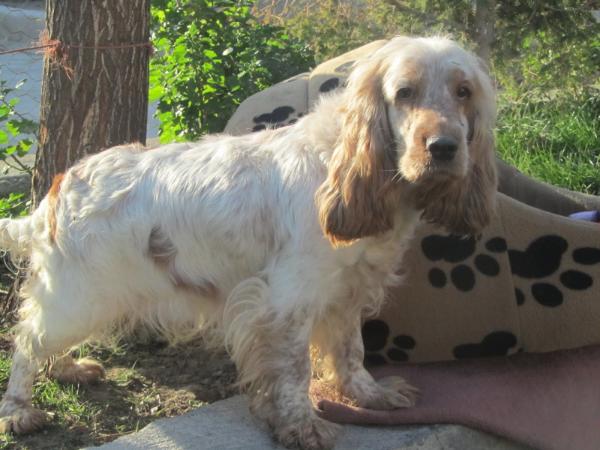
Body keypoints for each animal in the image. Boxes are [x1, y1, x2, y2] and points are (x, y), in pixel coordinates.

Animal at [0, 37, 496, 448]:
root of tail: (60, 186)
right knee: (27, 341)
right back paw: (19, 411)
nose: (444, 147)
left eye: (464, 91)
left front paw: (369, 395)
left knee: (41, 340)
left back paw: (69, 369)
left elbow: (351, 353)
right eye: (405, 92)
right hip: (78, 295)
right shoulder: (287, 300)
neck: (341, 163)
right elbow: (294, 370)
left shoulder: (346, 292)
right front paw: (302, 426)